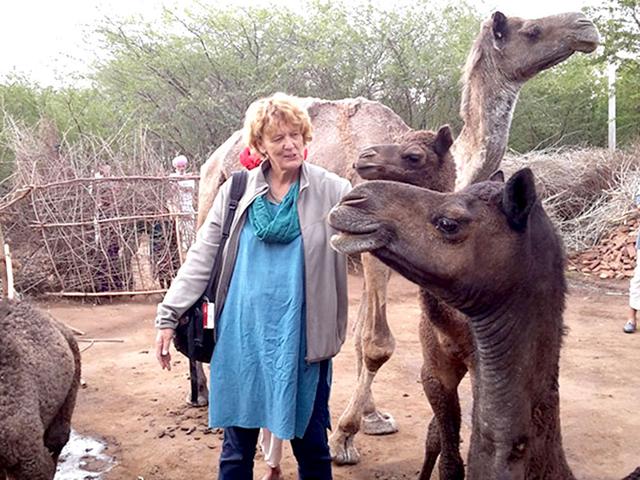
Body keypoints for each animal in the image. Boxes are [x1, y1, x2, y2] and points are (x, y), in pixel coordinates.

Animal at [190, 8, 600, 468]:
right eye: (530, 30)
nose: (585, 26)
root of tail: (216, 155)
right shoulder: (369, 243)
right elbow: (376, 343)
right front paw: (344, 438)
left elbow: (359, 336)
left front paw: (370, 419)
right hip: (207, 203)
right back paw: (206, 396)